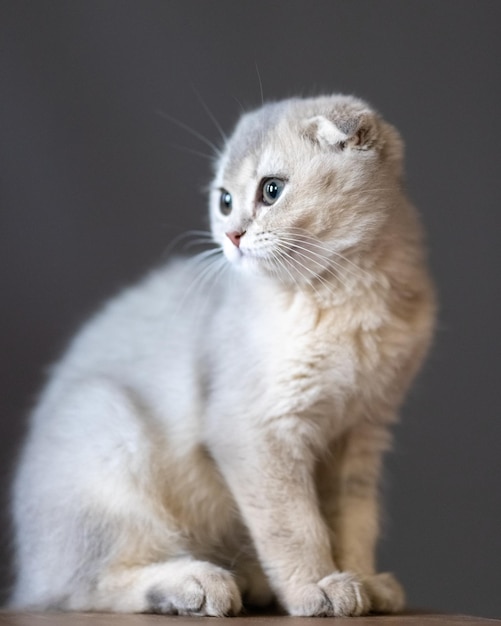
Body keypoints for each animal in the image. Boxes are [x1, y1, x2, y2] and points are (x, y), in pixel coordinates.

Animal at [10, 92, 434, 616]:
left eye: (271, 191)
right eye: (225, 200)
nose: (232, 236)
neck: (348, 299)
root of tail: (28, 571)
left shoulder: (360, 435)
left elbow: (354, 524)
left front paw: (365, 583)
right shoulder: (256, 432)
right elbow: (297, 526)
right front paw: (316, 587)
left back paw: (248, 582)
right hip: (108, 424)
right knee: (85, 587)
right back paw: (196, 585)